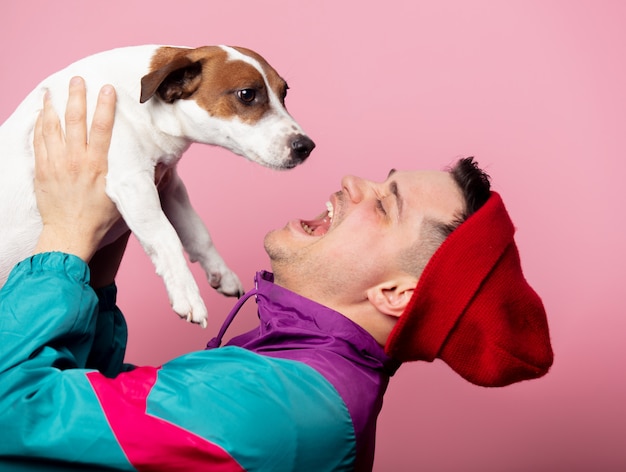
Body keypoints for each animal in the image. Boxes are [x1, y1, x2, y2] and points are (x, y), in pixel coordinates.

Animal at [0, 45, 312, 328]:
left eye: (284, 93)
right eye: (247, 94)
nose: (306, 146)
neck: (140, 104)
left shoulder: (169, 186)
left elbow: (198, 234)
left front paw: (220, 272)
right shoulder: (134, 182)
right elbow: (166, 237)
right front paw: (187, 294)